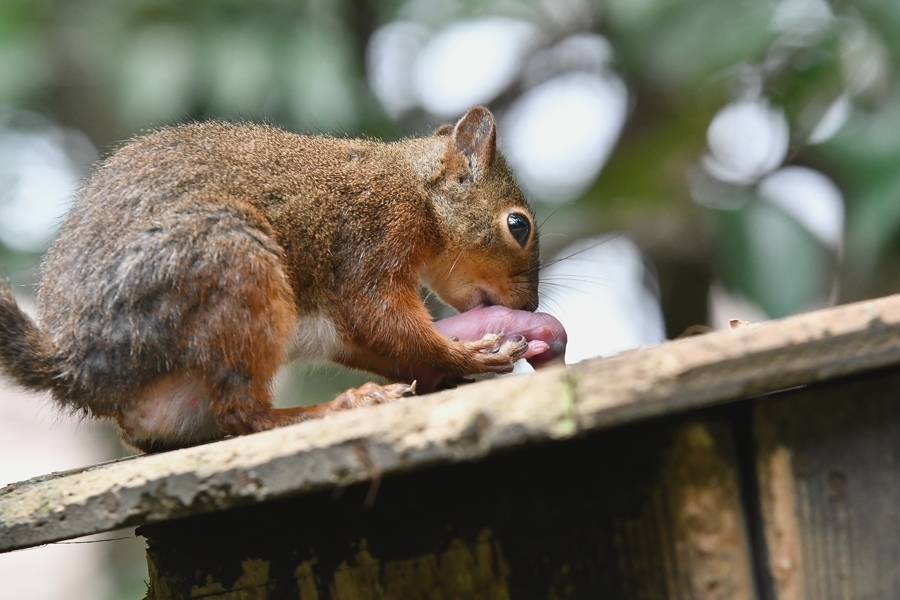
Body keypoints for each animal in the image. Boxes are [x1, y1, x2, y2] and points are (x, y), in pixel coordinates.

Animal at [0, 106, 564, 450]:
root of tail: (78, 363)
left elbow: (370, 338)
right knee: (242, 416)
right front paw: (472, 356)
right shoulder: (372, 232)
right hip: (229, 262)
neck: (414, 187)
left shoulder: (338, 321)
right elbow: (379, 315)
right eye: (518, 225)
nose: (530, 308)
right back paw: (335, 406)